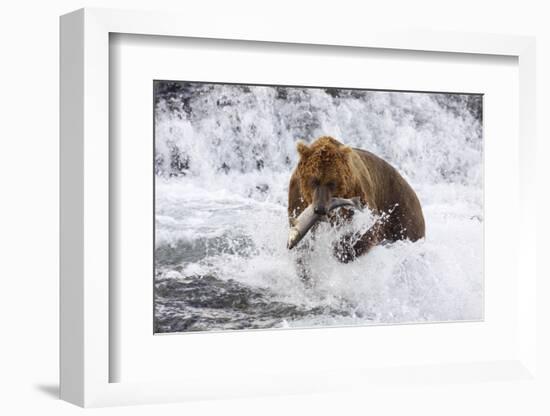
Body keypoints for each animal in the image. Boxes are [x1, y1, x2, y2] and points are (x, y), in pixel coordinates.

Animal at [288, 135, 426, 262]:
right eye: (314, 181)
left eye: (332, 183)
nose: (320, 209)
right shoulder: (297, 197)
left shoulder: (357, 191)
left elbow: (369, 229)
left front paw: (343, 249)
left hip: (400, 209)